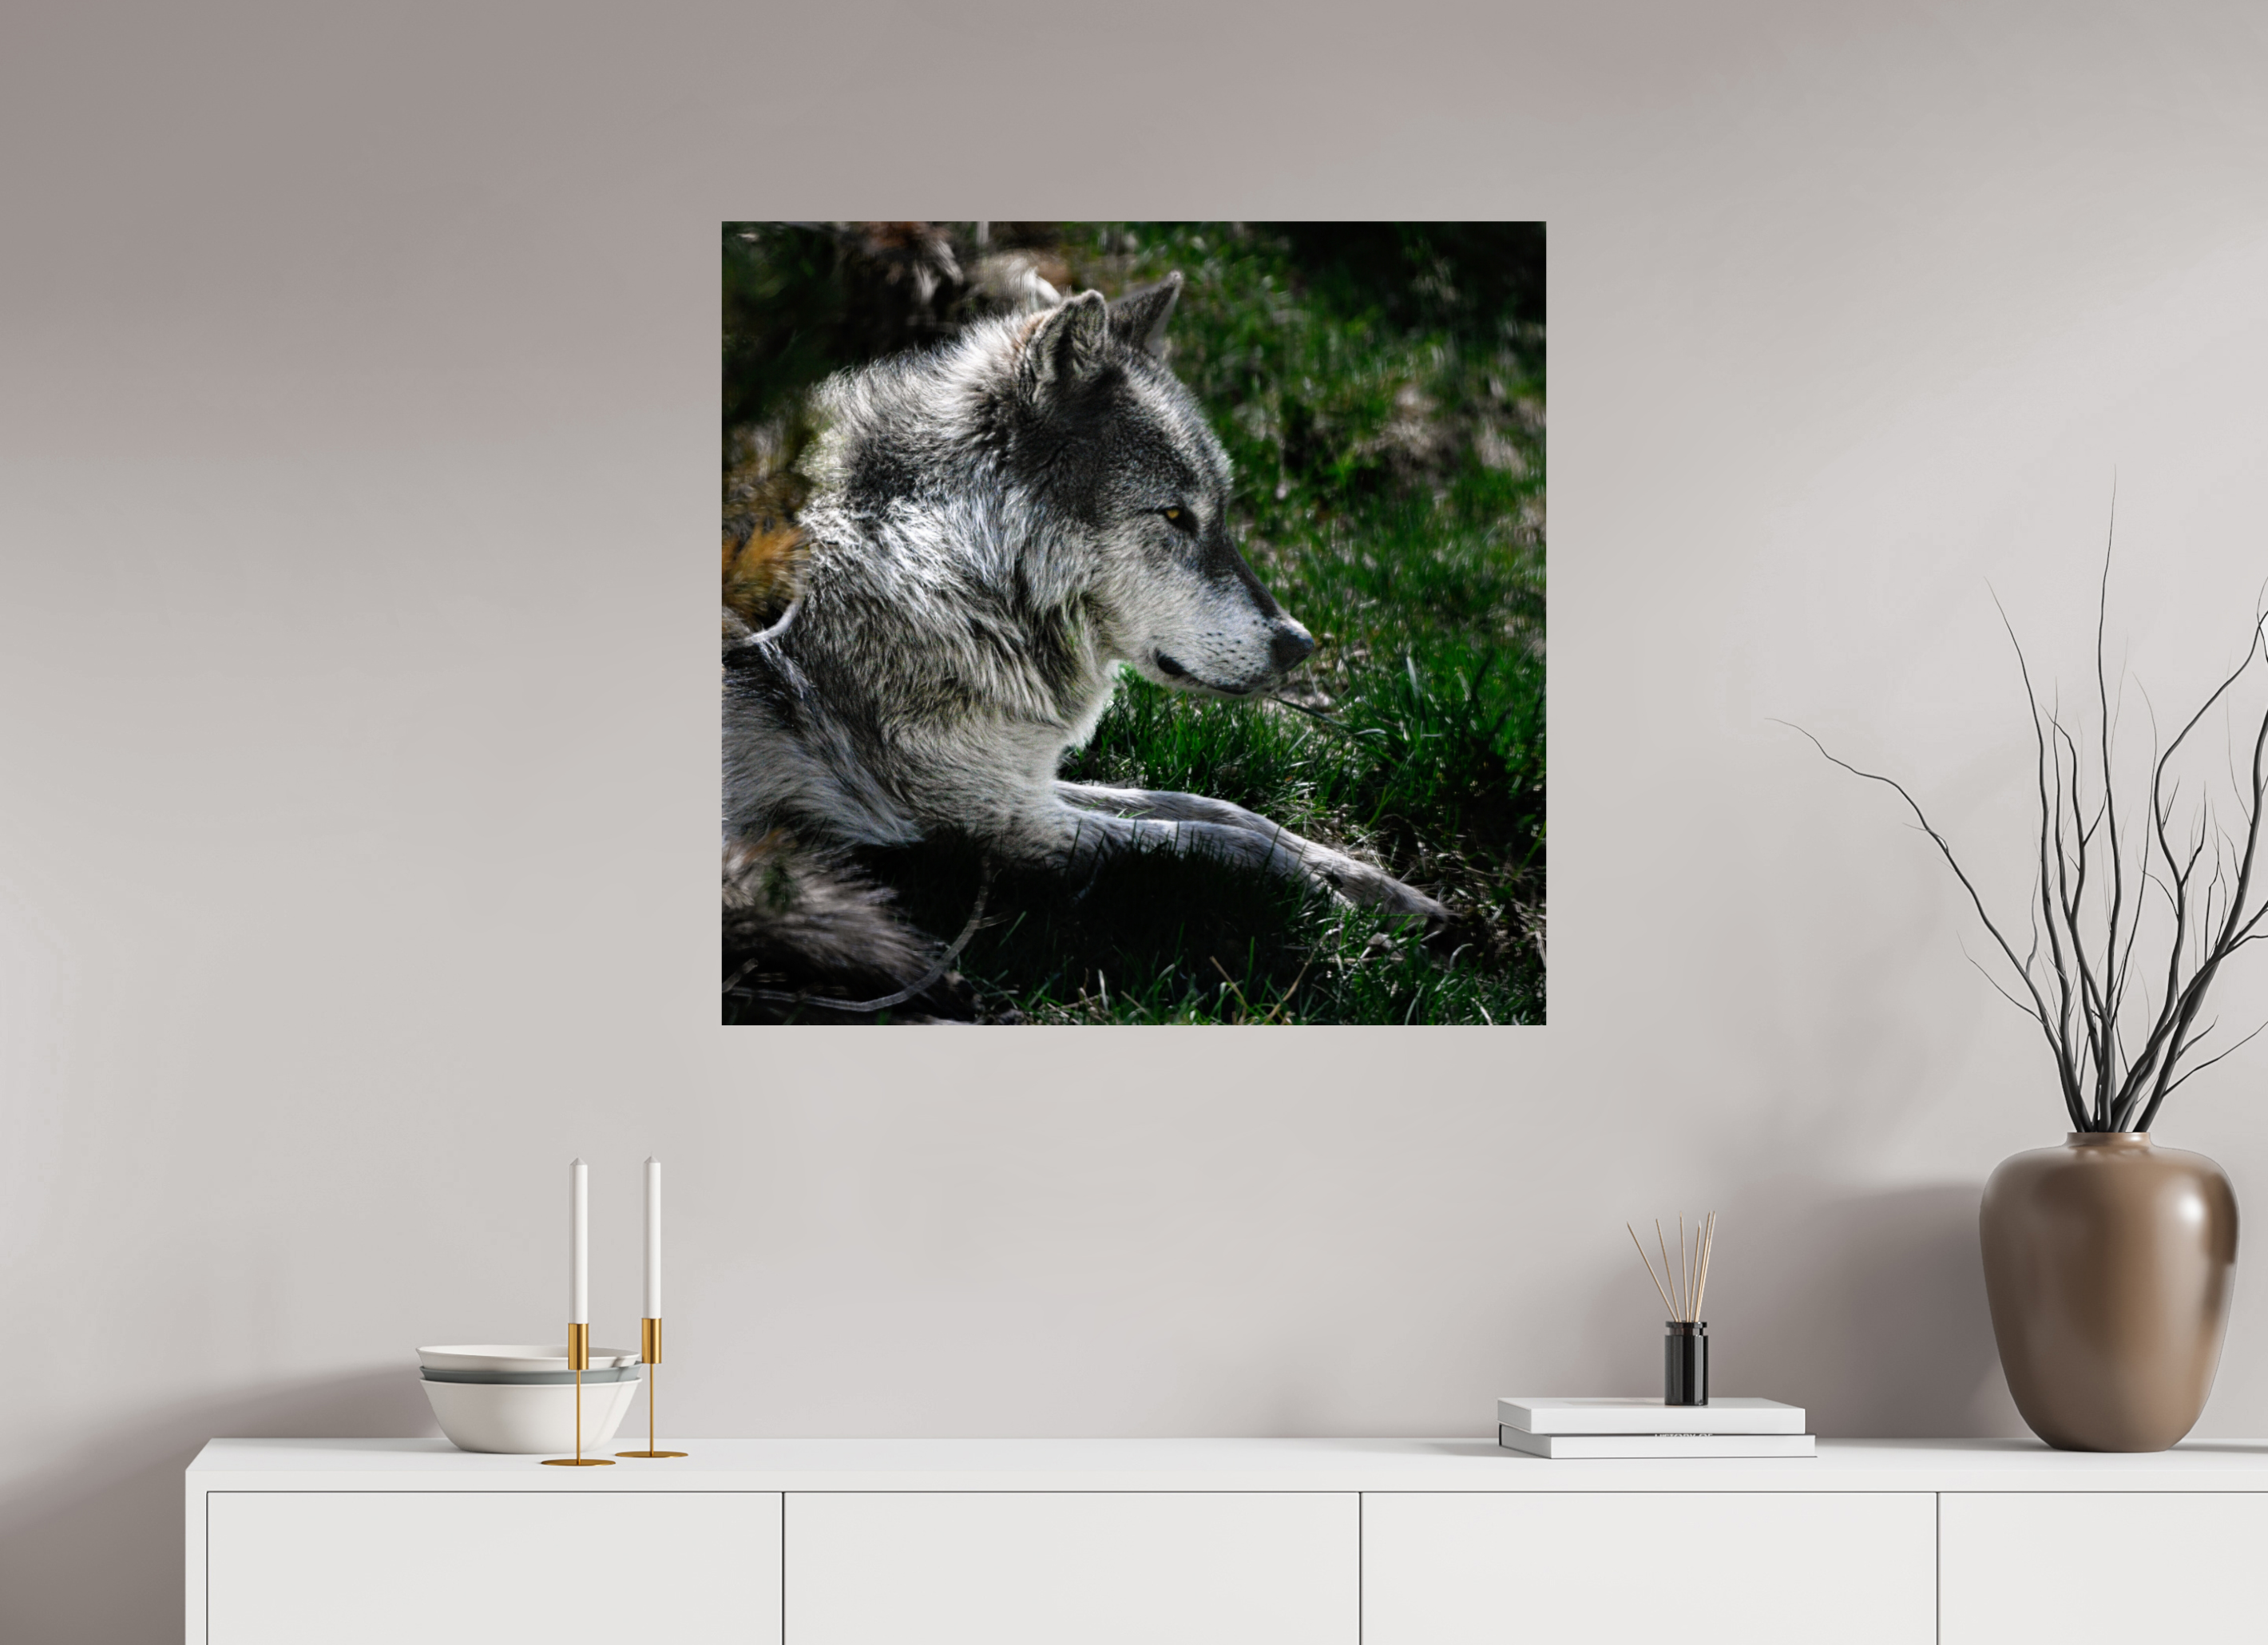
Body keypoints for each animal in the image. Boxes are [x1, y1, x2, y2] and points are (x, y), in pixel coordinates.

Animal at [723, 273, 1446, 925]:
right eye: (1175, 515)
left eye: (1220, 513)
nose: (1300, 644)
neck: (937, 560)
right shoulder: (996, 822)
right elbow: (1215, 841)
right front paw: (1324, 898)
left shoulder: (1022, 780)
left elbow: (1215, 807)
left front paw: (1379, 886)